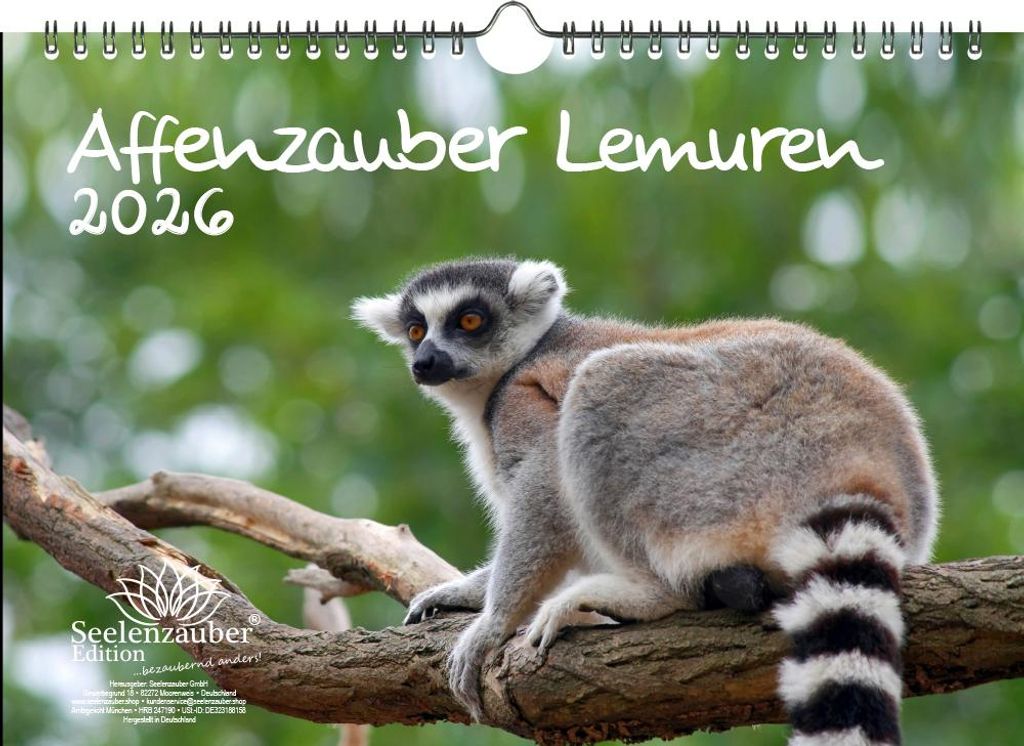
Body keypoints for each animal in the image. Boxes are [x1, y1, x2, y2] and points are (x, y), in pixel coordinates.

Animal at [352, 257, 938, 746]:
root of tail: (866, 463)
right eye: (416, 330)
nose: (426, 360)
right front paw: (462, 593)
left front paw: (491, 625)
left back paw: (644, 595)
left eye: (470, 321)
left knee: (602, 383)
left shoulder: (521, 401)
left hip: (726, 461)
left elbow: (545, 494)